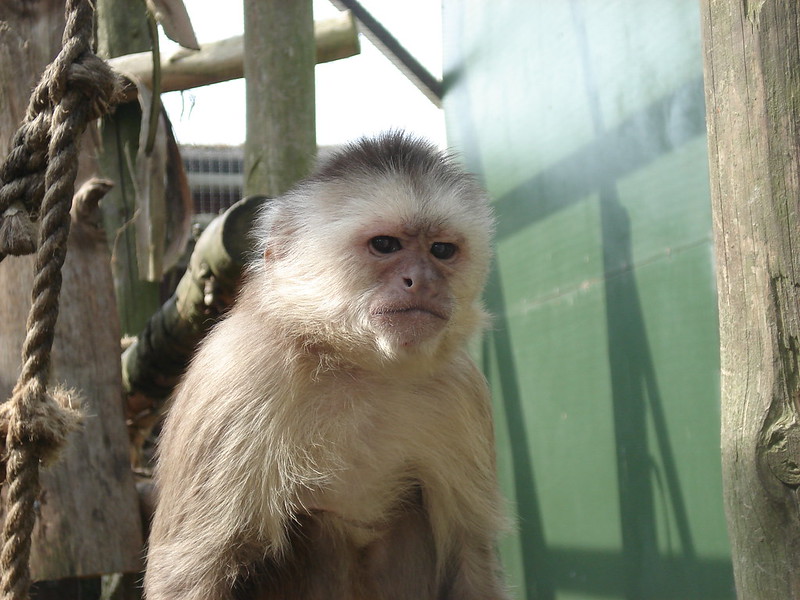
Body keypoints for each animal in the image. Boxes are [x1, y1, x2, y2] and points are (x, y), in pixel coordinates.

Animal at [144, 131, 509, 600]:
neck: (359, 363)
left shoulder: (462, 389)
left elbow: (469, 551)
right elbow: (191, 571)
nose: (424, 282)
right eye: (386, 245)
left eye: (442, 250)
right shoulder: (239, 372)